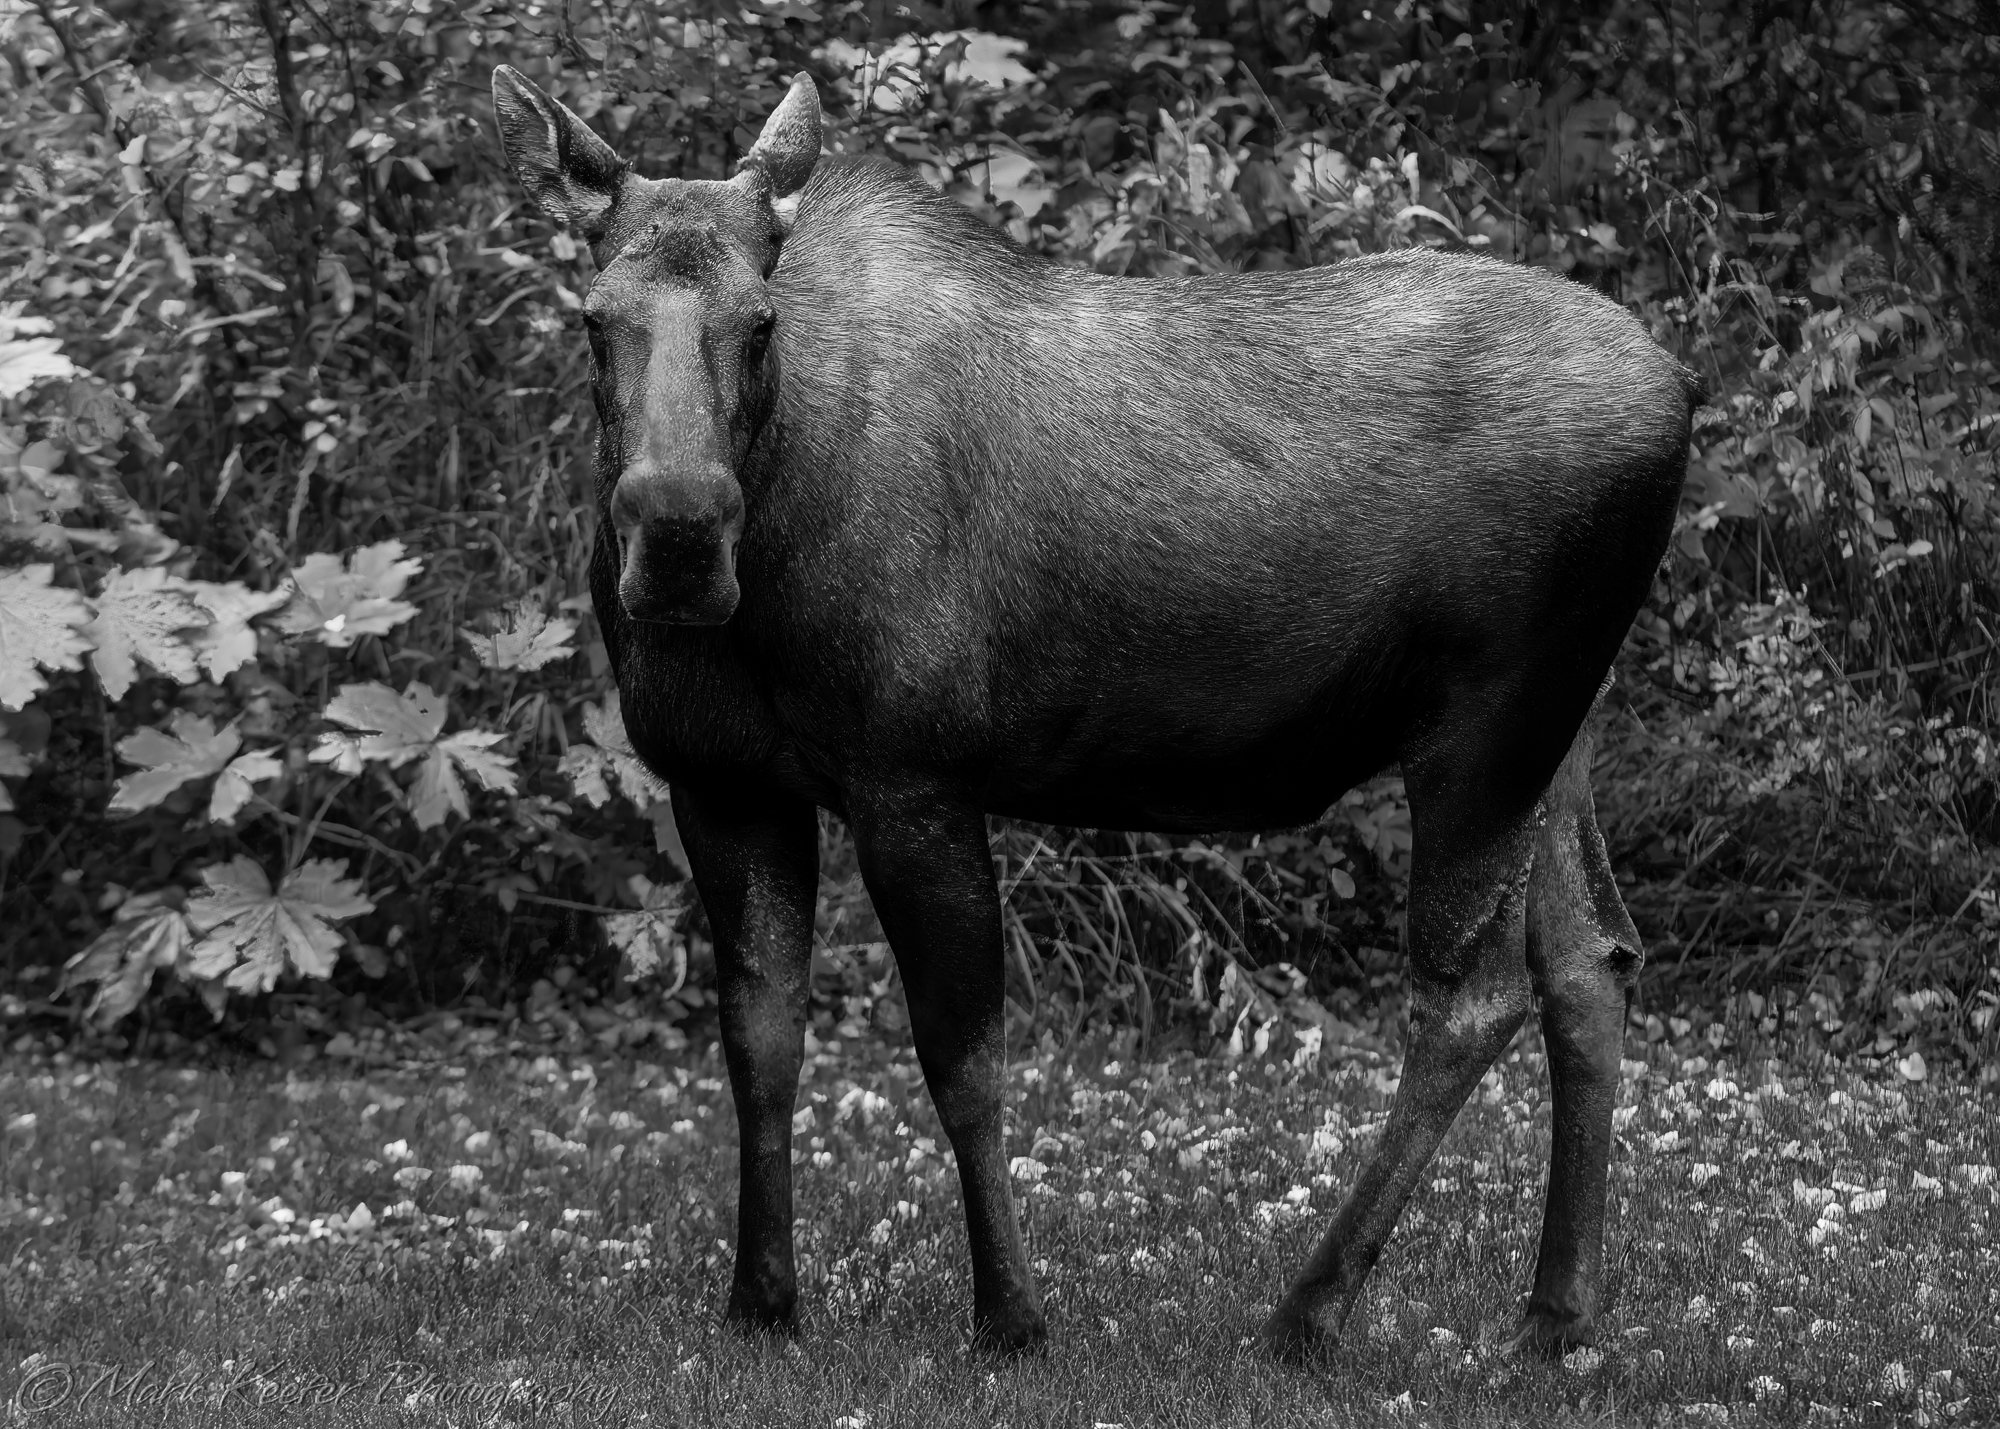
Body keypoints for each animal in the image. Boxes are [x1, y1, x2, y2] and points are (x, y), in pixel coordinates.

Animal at [492, 67, 1696, 1360]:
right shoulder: (722, 782)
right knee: (1591, 962)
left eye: (760, 319)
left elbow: (961, 1059)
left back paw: (1306, 1312)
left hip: (1482, 727)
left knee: (1470, 998)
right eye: (592, 316)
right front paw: (760, 1301)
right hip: (1558, 732)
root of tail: (1681, 389)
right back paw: (1552, 1315)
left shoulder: (912, 777)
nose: (674, 534)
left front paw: (1010, 1315)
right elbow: (758, 1043)